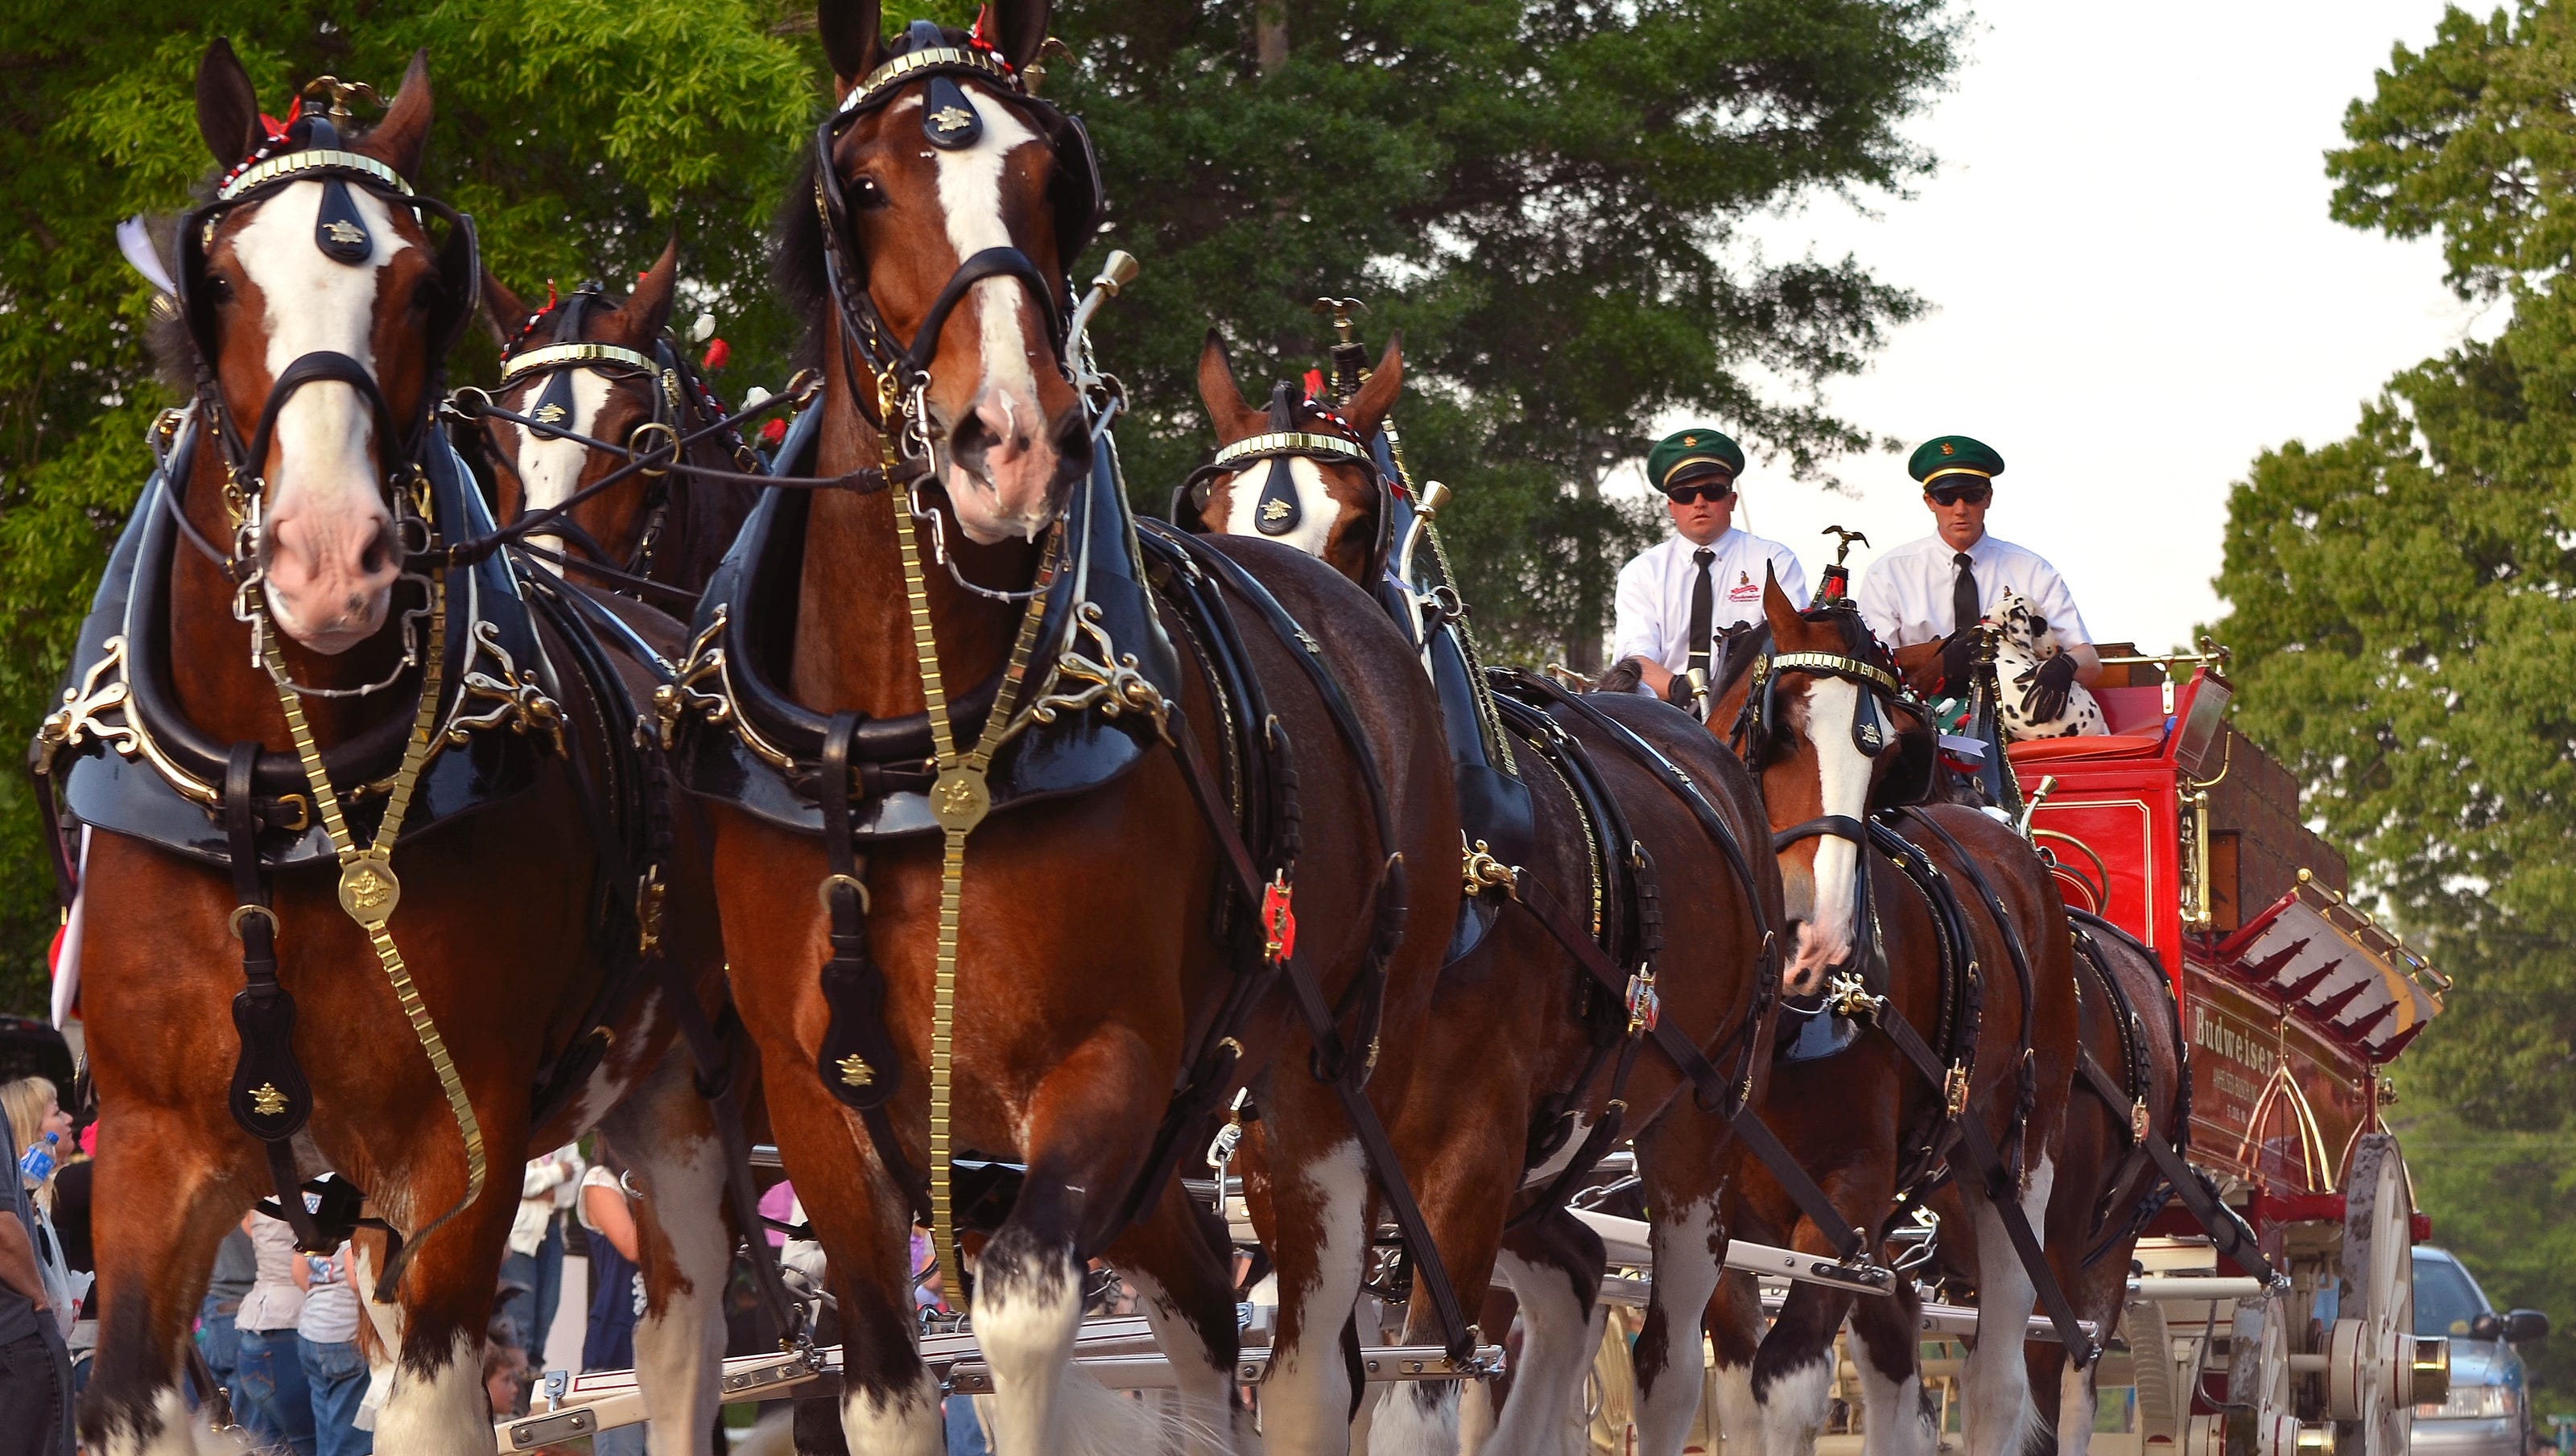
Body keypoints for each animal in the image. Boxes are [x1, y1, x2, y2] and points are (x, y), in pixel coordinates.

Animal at [77, 45, 737, 1453]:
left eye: (424, 288)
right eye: (221, 283)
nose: (330, 559)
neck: (285, 795)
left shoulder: (459, 1142)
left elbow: (434, 1405)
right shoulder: (153, 1154)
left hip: (697, 1088)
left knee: (686, 1339)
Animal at [705, 6, 1463, 1442]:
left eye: (1056, 185)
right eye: (863, 186)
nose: (1010, 443)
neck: (918, 746)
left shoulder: (1109, 1066)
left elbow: (1020, 1320)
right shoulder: (814, 1102)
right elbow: (885, 1377)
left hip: (1320, 1084)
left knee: (1304, 1366)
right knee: (1209, 1317)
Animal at [1190, 335, 1793, 1442]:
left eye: (1357, 521)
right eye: (1212, 514)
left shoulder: (1463, 1164)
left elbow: (1413, 1399)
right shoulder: (1289, 1161)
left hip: (1696, 1134)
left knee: (1670, 1359)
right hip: (1543, 1177)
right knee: (1576, 1282)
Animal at [1679, 584, 2081, 1453]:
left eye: (1887, 756)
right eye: (1780, 728)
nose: (1818, 940)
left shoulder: (1851, 1192)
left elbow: (1787, 1383)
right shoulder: (1710, 1202)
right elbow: (1734, 1397)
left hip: (2017, 1168)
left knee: (1997, 1380)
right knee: (1898, 1365)